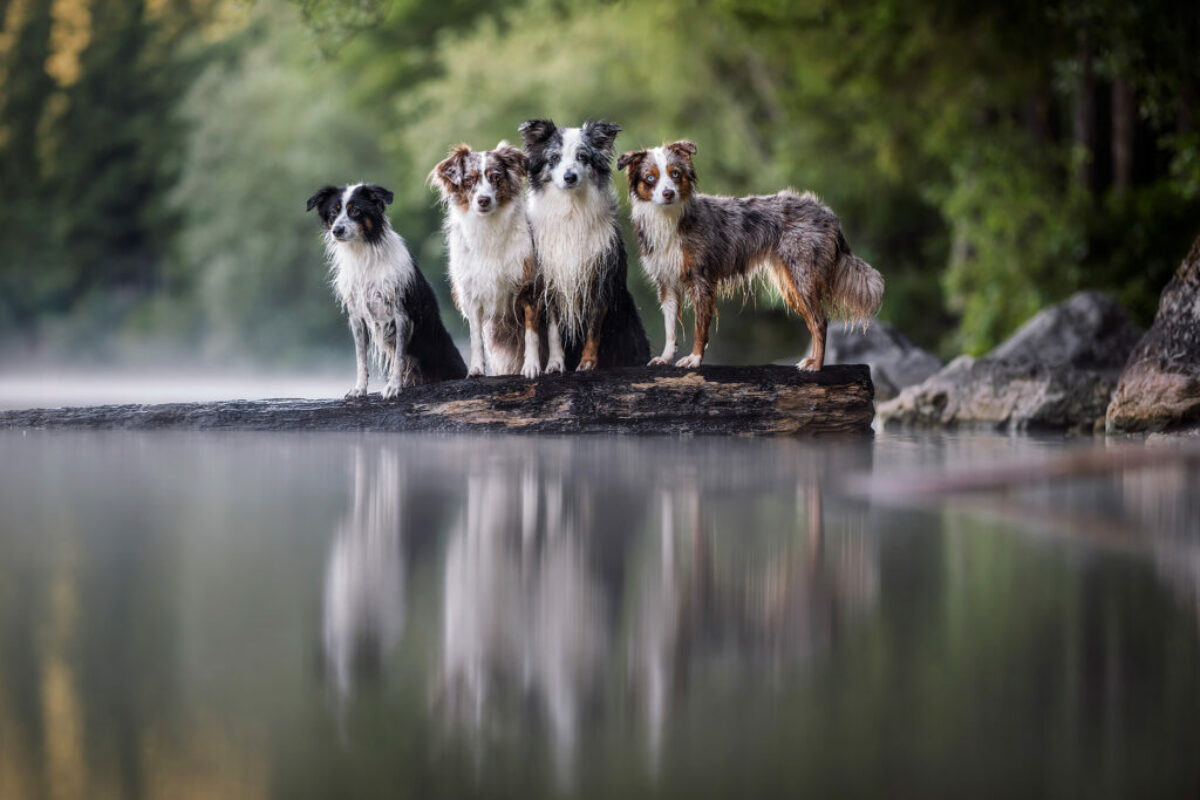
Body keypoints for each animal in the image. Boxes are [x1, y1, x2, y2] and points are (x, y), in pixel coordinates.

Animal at [304, 183, 463, 398]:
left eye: (356, 210)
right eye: (333, 212)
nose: (337, 230)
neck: (362, 253)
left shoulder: (401, 314)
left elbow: (399, 358)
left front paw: (394, 386)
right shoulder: (357, 317)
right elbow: (361, 358)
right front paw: (359, 388)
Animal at [432, 140, 544, 379]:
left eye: (496, 177)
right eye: (469, 180)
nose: (483, 200)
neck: (488, 229)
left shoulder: (529, 286)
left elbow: (531, 332)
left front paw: (531, 367)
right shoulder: (472, 295)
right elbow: (476, 339)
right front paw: (475, 370)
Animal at [516, 117, 648, 374]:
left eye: (583, 157)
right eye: (554, 158)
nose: (570, 177)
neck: (570, 210)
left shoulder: (599, 278)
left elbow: (594, 327)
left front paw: (587, 362)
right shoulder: (551, 279)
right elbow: (553, 329)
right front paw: (554, 363)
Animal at [619, 140, 883, 369]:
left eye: (675, 174)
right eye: (650, 178)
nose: (668, 194)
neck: (669, 218)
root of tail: (827, 212)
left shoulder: (701, 279)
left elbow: (700, 326)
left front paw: (694, 359)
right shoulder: (666, 282)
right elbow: (670, 328)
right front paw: (665, 358)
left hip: (803, 276)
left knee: (821, 321)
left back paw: (816, 366)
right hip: (790, 284)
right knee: (814, 320)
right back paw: (811, 360)